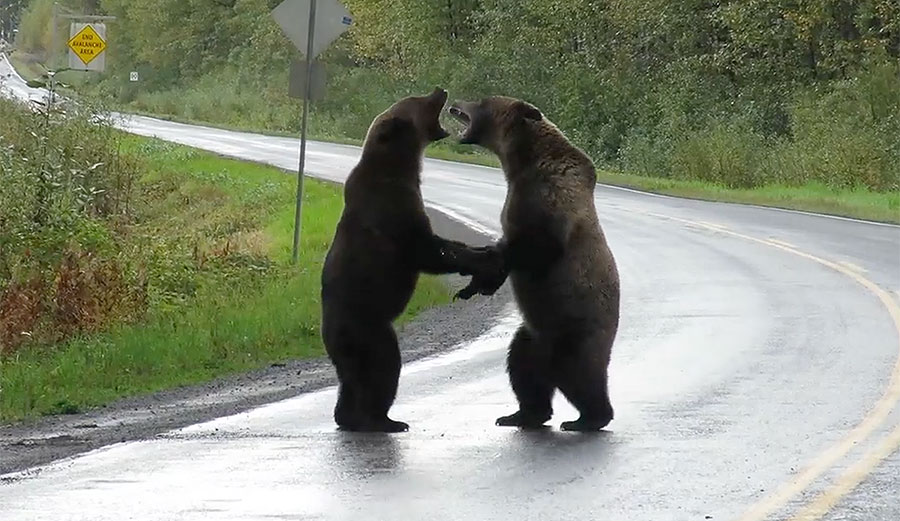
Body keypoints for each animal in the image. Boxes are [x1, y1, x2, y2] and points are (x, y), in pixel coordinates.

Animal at [320, 87, 504, 433]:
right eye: (418, 100)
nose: (439, 89)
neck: (400, 167)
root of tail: (328, 334)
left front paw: (486, 251)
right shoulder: (394, 212)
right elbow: (429, 251)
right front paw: (481, 261)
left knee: (351, 382)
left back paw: (351, 416)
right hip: (369, 327)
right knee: (383, 369)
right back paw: (381, 420)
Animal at [448, 95, 620, 431]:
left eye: (482, 100)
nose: (453, 103)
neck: (521, 163)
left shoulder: (551, 197)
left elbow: (538, 245)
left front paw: (486, 265)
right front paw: (476, 284)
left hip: (576, 325)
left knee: (578, 373)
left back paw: (589, 417)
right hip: (534, 333)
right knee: (523, 367)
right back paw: (522, 414)